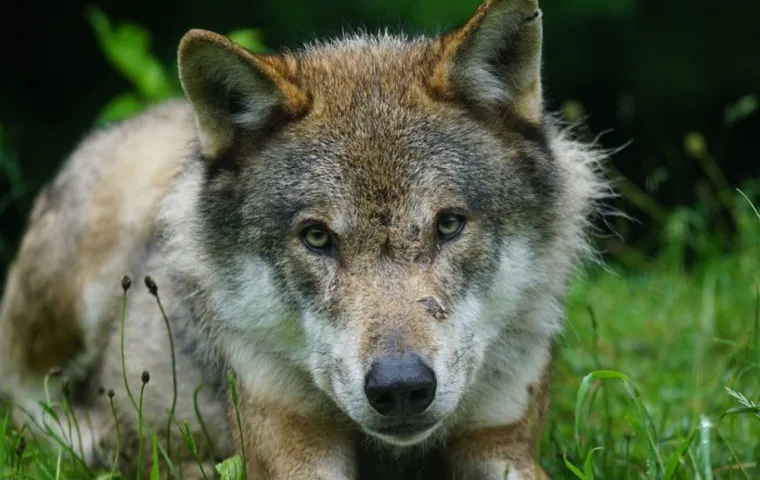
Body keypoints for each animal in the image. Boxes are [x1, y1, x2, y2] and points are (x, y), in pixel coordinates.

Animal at [0, 0, 609, 478]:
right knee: (28, 403)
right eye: (316, 236)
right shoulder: (288, 435)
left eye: (448, 224)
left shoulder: (502, 440)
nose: (400, 387)